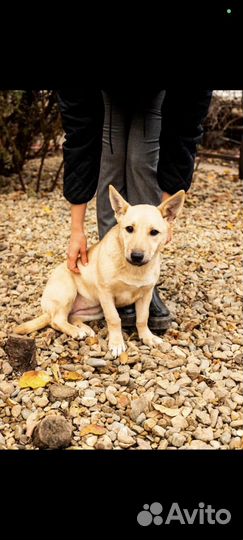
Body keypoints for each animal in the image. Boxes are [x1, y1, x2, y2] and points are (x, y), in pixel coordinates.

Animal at [14, 187, 185, 358]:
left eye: (154, 232)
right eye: (129, 229)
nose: (136, 256)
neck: (133, 269)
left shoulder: (145, 295)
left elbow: (142, 318)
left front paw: (147, 337)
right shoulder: (106, 294)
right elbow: (114, 319)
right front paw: (116, 343)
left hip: (95, 309)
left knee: (71, 316)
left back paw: (85, 329)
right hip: (68, 292)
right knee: (56, 320)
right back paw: (75, 331)